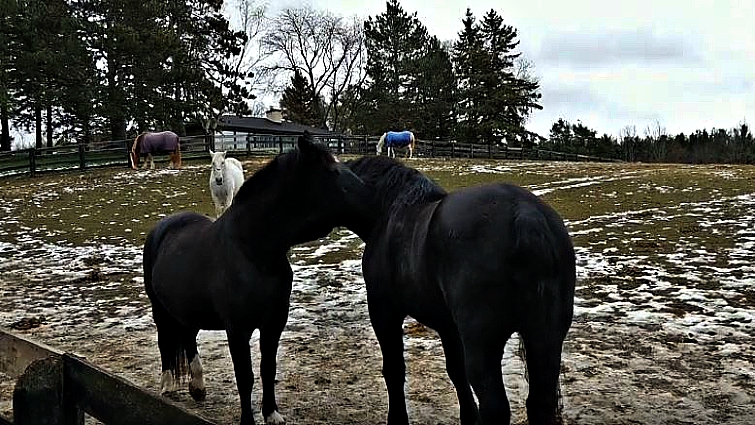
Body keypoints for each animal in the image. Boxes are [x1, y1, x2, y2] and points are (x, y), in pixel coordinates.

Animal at [143, 132, 371, 425]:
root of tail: (163, 226)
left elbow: (267, 369)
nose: (370, 199)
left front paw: (271, 414)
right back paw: (168, 385)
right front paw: (248, 421)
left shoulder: (273, 324)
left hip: (187, 309)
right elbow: (245, 377)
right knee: (165, 341)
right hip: (159, 308)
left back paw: (198, 387)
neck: (253, 252)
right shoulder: (237, 330)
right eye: (332, 171)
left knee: (188, 337)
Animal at [342, 155, 576, 425]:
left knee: (496, 407)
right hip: (545, 337)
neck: (392, 212)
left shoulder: (384, 312)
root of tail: (526, 216)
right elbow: (456, 371)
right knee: (540, 403)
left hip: (484, 343)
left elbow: (394, 370)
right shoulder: (449, 326)